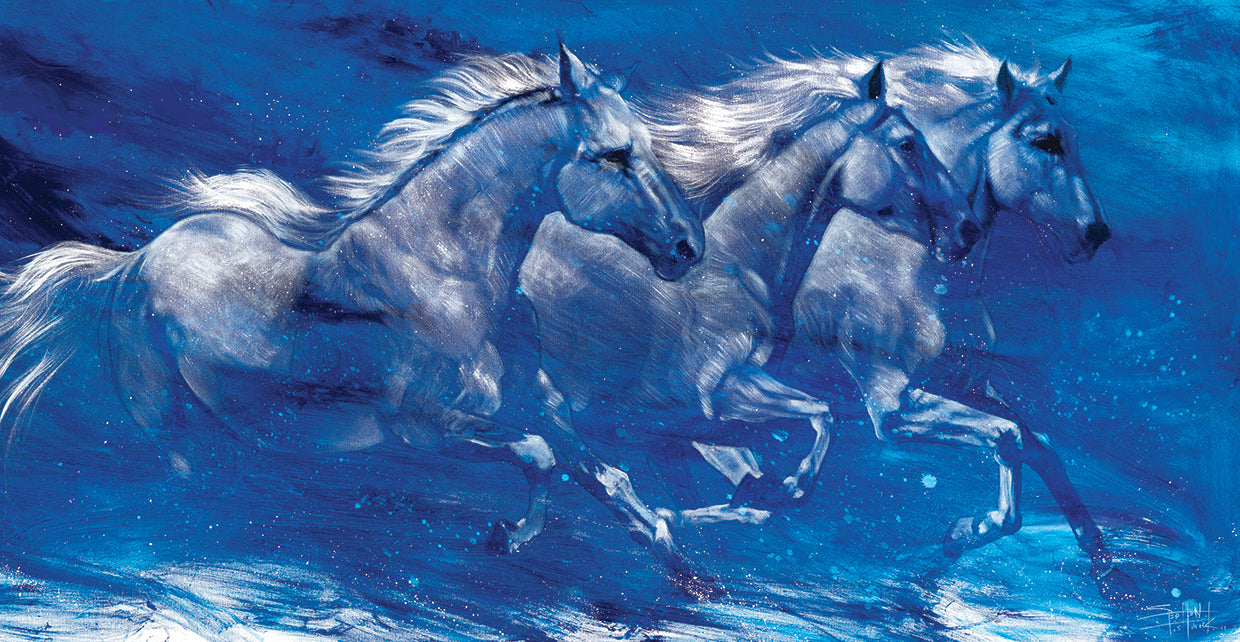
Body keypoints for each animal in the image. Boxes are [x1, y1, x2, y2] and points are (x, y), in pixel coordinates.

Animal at [0, 46, 703, 560]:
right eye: (613, 156)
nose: (688, 246)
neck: (454, 278)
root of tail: (131, 264)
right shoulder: (425, 428)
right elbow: (539, 455)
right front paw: (508, 537)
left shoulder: (542, 404)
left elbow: (605, 476)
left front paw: (688, 573)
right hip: (171, 429)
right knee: (190, 485)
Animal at [517, 63, 977, 597]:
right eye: (907, 144)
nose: (967, 230)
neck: (739, 268)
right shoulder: (718, 398)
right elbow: (821, 418)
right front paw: (772, 493)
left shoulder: (682, 431)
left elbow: (744, 484)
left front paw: (743, 501)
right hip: (548, 400)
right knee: (577, 465)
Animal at [657, 42, 1135, 600]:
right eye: (1046, 141)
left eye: (1073, 138)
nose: (1095, 233)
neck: (912, 272)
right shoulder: (891, 408)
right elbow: (1007, 439)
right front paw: (963, 533)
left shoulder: (970, 386)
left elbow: (1037, 447)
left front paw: (1113, 577)